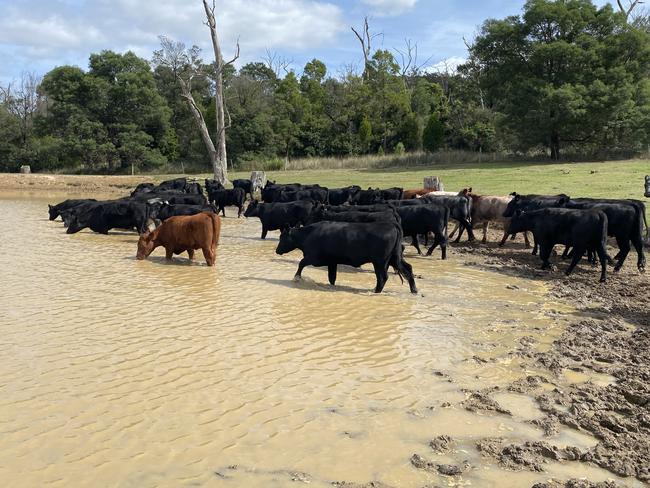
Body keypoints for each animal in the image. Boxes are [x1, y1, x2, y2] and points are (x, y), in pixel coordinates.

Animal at [274, 221, 416, 294]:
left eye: (282, 237)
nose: (277, 250)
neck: (308, 234)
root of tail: (392, 225)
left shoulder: (314, 258)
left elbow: (301, 263)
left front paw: (296, 278)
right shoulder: (332, 262)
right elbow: (332, 277)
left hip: (380, 262)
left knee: (382, 277)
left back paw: (376, 291)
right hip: (394, 258)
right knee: (408, 269)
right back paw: (414, 290)